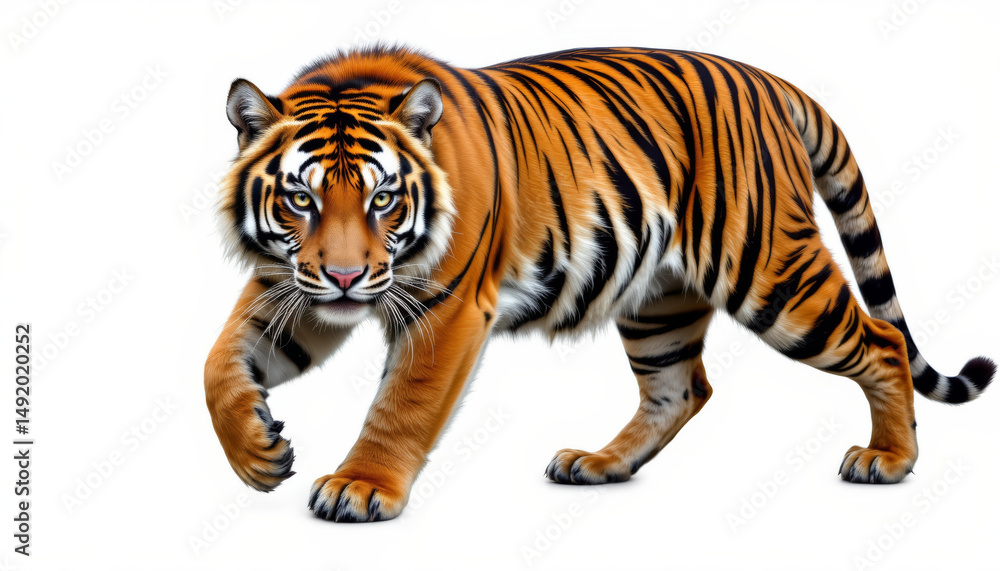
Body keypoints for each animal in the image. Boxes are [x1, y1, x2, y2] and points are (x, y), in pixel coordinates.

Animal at [205, 45, 995, 522]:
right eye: (300, 199)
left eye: (383, 198)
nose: (345, 275)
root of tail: (775, 83)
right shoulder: (292, 287)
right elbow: (217, 367)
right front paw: (258, 453)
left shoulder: (450, 308)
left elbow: (403, 403)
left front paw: (360, 487)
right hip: (660, 299)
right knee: (681, 387)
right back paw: (600, 464)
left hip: (774, 275)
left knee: (883, 338)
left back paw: (889, 460)